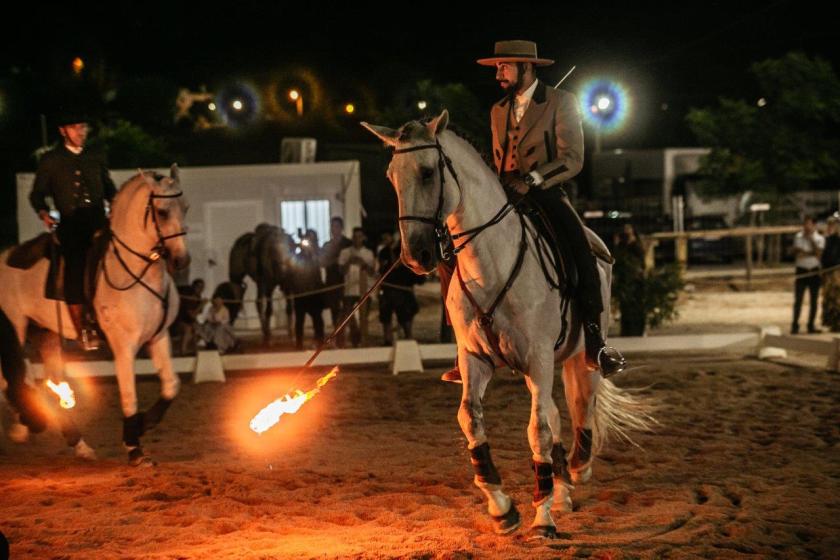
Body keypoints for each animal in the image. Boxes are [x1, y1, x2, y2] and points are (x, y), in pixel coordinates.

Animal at [0, 166, 189, 468]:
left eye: (185, 207)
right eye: (161, 212)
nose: (182, 260)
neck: (137, 272)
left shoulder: (159, 337)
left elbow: (171, 385)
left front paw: (144, 424)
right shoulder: (124, 346)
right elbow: (129, 395)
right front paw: (134, 448)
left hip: (45, 335)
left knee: (49, 384)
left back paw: (77, 444)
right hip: (13, 331)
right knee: (11, 380)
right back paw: (28, 424)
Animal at [364, 114, 652, 540]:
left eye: (428, 172)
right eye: (390, 176)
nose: (415, 257)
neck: (490, 266)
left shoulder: (538, 360)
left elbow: (538, 431)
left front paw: (542, 517)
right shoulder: (476, 360)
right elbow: (472, 419)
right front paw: (502, 507)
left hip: (581, 358)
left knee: (580, 407)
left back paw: (578, 471)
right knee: (556, 414)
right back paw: (562, 489)